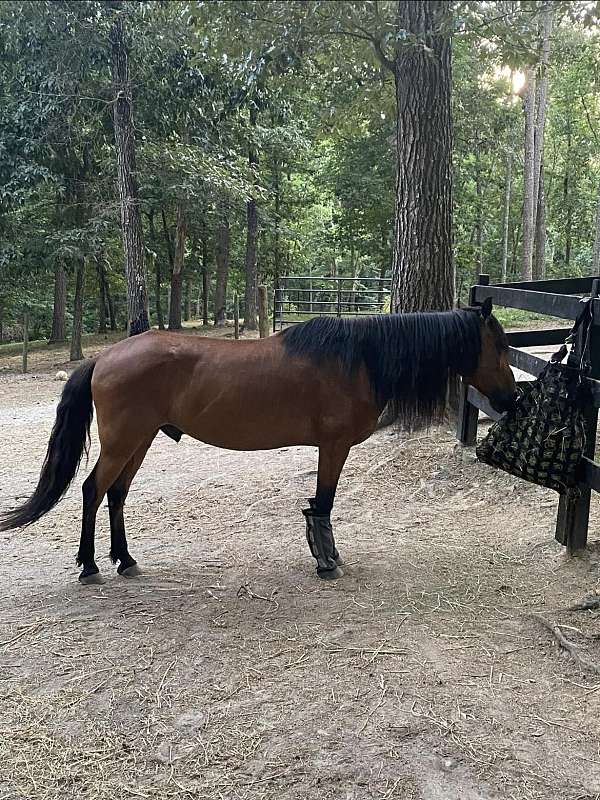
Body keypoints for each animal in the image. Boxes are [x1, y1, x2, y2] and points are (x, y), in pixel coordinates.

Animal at [1, 298, 516, 580]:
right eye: (500, 345)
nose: (511, 398)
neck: (360, 358)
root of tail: (105, 357)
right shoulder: (333, 446)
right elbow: (323, 503)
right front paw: (326, 561)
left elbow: (319, 504)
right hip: (124, 440)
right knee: (93, 490)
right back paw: (89, 565)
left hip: (139, 441)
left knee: (117, 494)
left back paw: (124, 559)